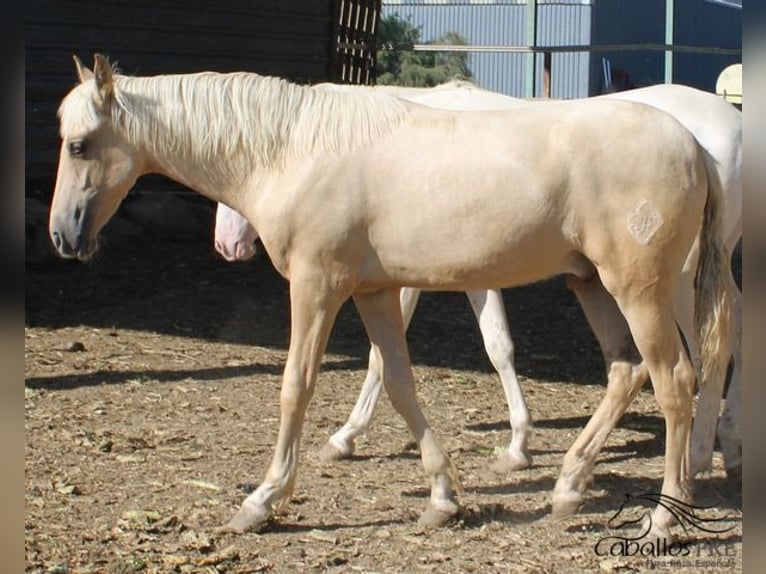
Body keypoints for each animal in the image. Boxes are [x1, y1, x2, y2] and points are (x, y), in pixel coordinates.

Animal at [214, 81, 744, 480]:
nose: (227, 245)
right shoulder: (466, 275)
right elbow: (497, 345)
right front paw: (518, 444)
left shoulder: (409, 278)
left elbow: (388, 357)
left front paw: (344, 437)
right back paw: (727, 447)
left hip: (673, 283)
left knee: (707, 353)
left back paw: (700, 457)